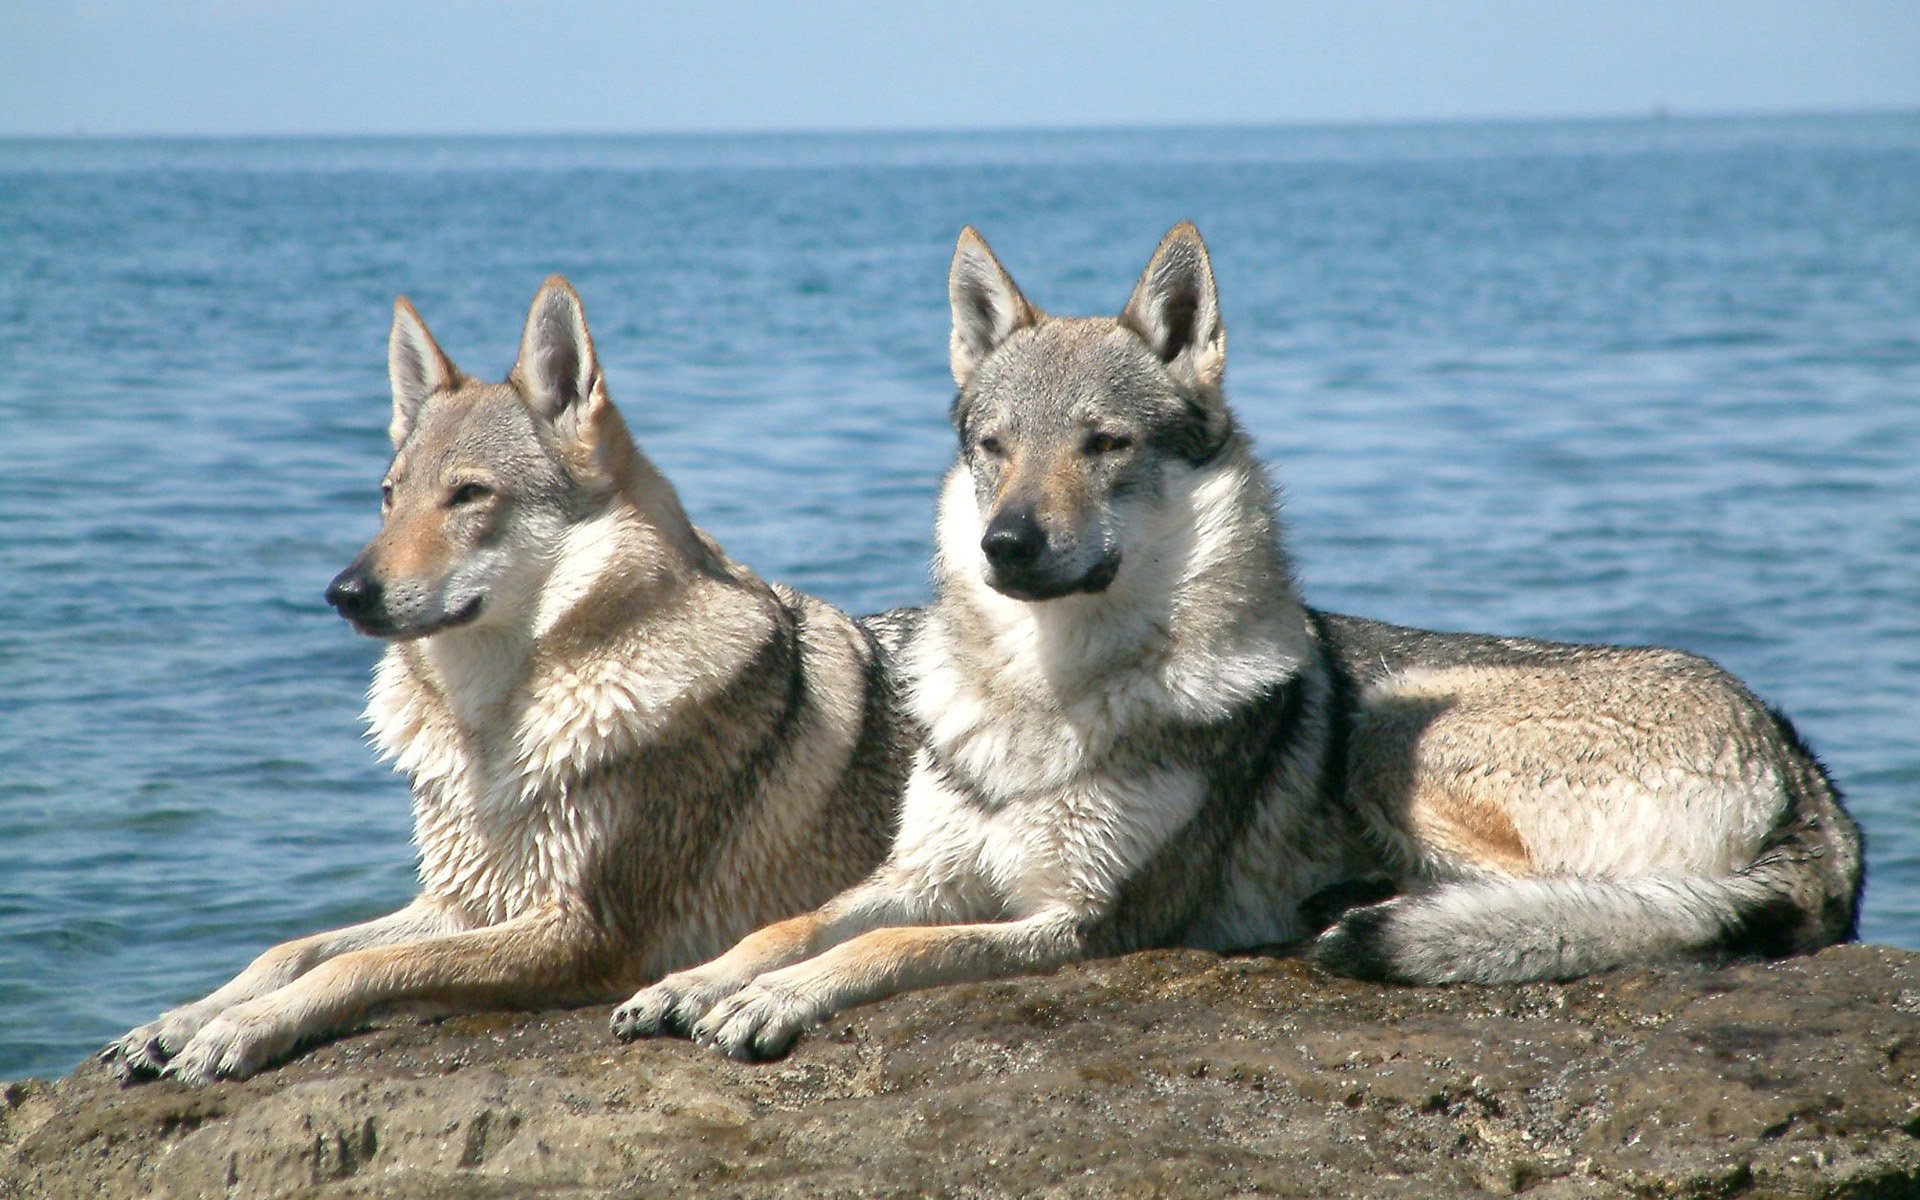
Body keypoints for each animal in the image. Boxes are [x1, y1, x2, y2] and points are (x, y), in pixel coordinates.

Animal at [103, 277, 917, 1084]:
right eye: (389, 496)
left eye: (468, 495)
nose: (344, 592)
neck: (492, 728)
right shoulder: (467, 899)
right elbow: (293, 949)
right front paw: (179, 1021)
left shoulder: (580, 931)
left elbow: (360, 965)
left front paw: (240, 1029)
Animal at [612, 223, 1864, 1061]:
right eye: (993, 447)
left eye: (1105, 445)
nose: (1005, 544)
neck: (1048, 695)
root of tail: (1806, 767)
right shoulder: (922, 872)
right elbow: (798, 921)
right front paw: (696, 982)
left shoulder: (1077, 921)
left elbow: (883, 954)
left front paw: (769, 1002)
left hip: (1397, 737)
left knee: (1593, 905)